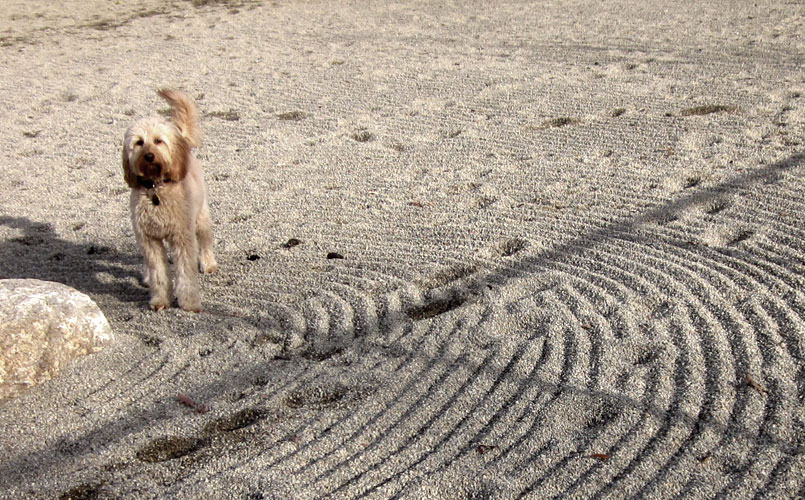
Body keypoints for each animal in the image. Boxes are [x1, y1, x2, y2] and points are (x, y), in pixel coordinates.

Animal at [121, 88, 215, 310]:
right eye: (139, 142)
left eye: (158, 141)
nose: (149, 156)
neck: (156, 189)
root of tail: (183, 139)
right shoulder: (149, 239)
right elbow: (158, 273)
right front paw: (160, 301)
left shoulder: (182, 237)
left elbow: (185, 273)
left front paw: (189, 303)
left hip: (201, 217)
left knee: (205, 239)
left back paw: (208, 263)